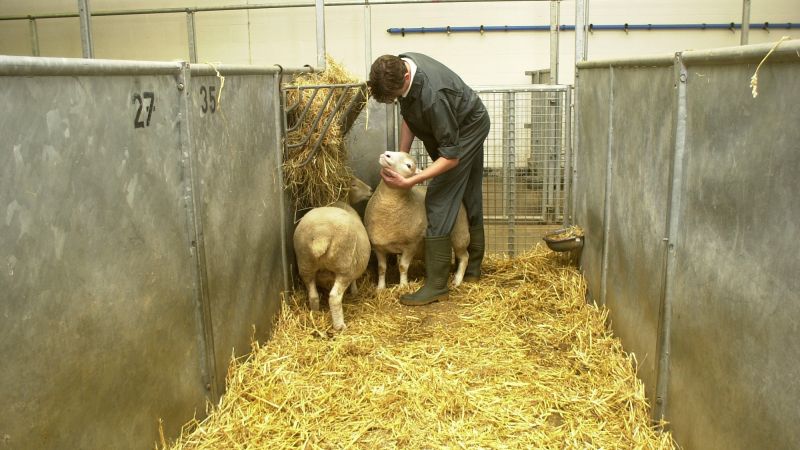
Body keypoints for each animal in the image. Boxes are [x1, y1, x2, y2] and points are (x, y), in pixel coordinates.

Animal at [292, 177, 372, 330]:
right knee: (334, 298)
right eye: (354, 185)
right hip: (343, 267)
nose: (371, 190)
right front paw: (354, 291)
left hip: (305, 265)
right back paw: (340, 326)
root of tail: (321, 236)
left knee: (313, 295)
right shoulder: (353, 265)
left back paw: (315, 313)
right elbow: (354, 281)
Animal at [364, 151, 470, 290]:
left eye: (409, 165)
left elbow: (403, 267)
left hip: (460, 234)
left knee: (464, 257)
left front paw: (403, 286)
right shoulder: (379, 247)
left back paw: (457, 280)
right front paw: (380, 288)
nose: (386, 154)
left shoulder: (411, 245)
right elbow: (381, 269)